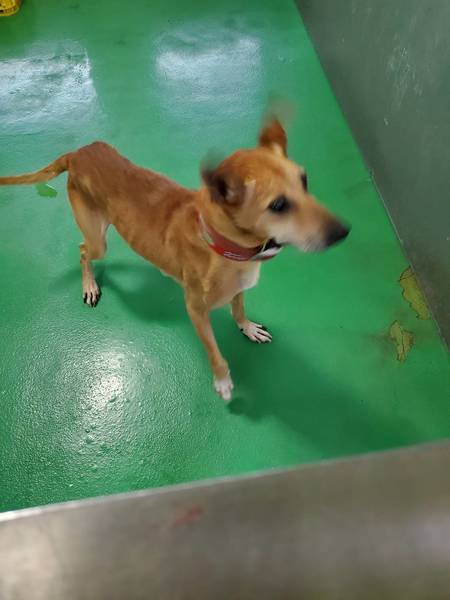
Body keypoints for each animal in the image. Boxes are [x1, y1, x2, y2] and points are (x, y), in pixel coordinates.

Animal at [0, 118, 349, 401]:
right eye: (277, 205)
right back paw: (89, 285)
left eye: (304, 180)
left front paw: (247, 327)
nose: (343, 232)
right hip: (99, 239)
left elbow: (238, 310)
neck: (220, 244)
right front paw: (223, 381)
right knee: (84, 251)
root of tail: (77, 153)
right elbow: (215, 354)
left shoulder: (238, 289)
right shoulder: (196, 311)